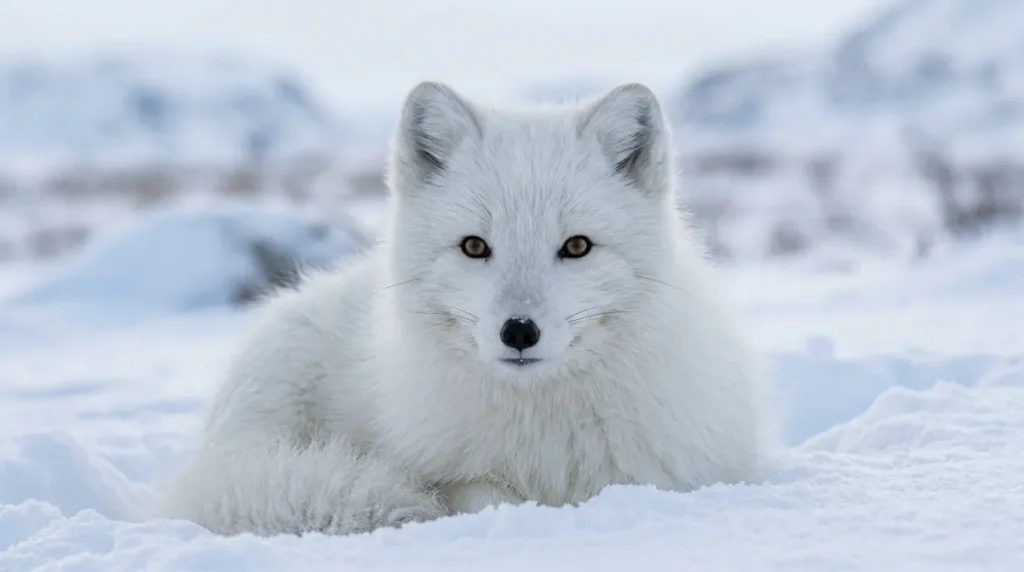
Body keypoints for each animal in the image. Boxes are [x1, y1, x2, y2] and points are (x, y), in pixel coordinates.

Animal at [157, 81, 778, 536]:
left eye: (577, 246)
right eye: (475, 247)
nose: (519, 332)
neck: (543, 430)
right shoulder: (458, 476)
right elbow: (481, 497)